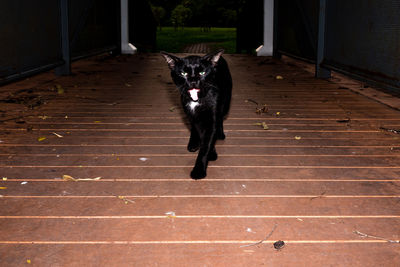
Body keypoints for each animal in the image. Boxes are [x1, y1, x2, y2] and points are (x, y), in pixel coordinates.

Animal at [161, 50, 233, 180]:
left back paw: (220, 134)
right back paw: (193, 143)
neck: (197, 100)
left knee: (220, 117)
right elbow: (202, 135)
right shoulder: (193, 115)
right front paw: (209, 152)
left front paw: (199, 170)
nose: (193, 80)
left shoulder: (212, 119)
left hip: (226, 102)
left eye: (202, 72)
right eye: (183, 73)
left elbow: (206, 144)